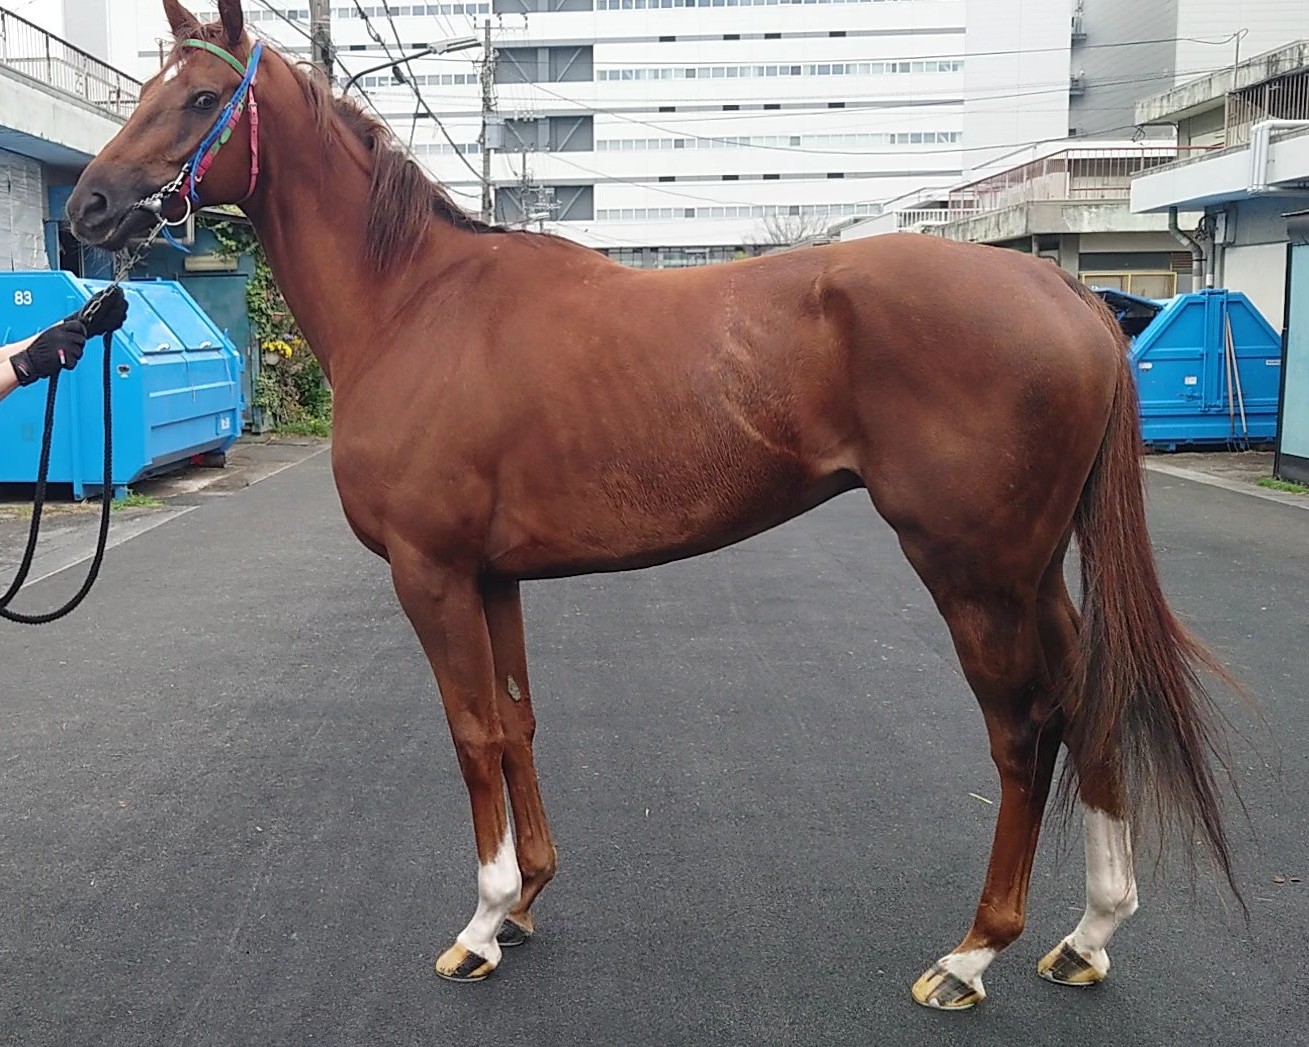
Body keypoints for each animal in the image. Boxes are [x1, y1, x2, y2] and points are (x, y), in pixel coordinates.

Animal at [66, 0, 1238, 1009]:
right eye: (146, 85)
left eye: (193, 99)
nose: (88, 208)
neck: (415, 304)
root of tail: (1060, 289)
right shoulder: (492, 577)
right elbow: (516, 721)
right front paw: (526, 899)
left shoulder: (430, 573)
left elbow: (469, 731)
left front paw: (481, 922)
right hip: (1030, 570)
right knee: (1089, 700)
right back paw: (1086, 934)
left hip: (973, 575)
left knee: (1022, 730)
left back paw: (971, 953)